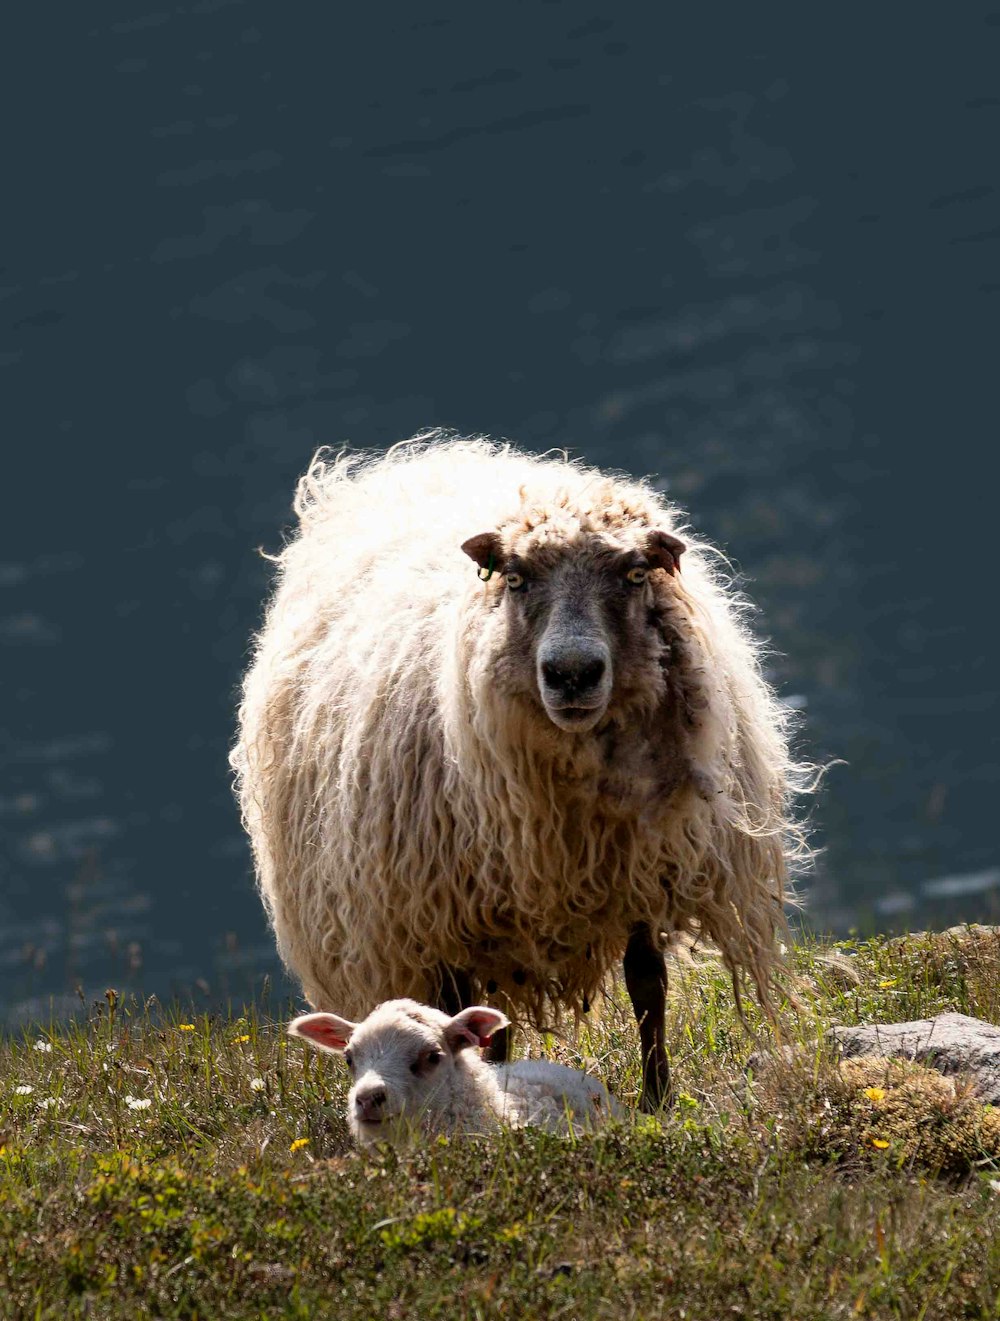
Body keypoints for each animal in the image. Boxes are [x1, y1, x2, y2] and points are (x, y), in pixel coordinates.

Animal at [229, 430, 808, 1104]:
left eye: (635, 573)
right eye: (515, 578)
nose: (572, 673)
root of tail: (411, 461)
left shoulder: (642, 870)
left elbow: (648, 987)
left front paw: (658, 1099)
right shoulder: (438, 914)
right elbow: (455, 1012)